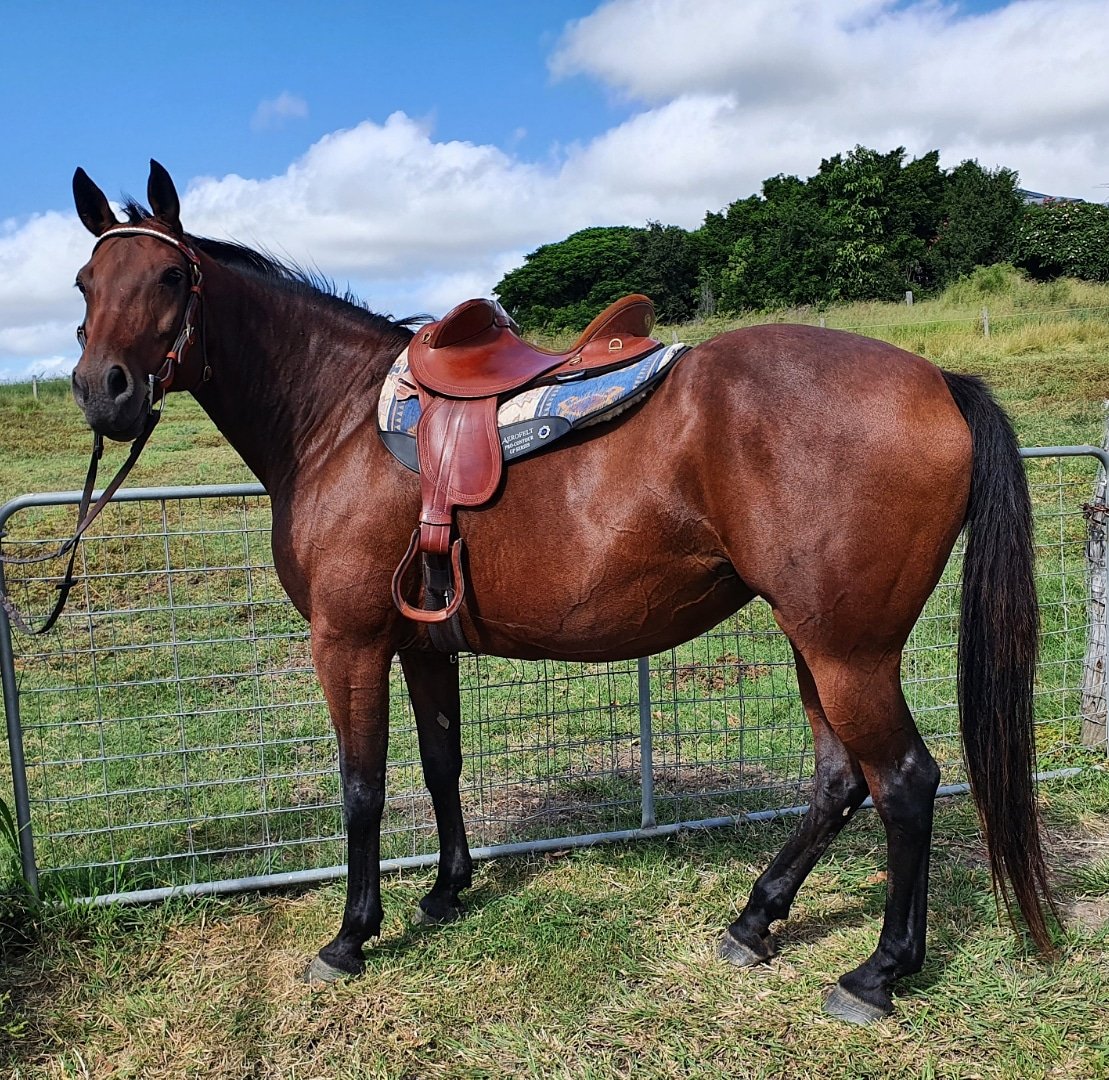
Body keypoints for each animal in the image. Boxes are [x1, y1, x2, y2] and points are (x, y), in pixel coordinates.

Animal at [67, 160, 1057, 1023]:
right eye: (84, 282)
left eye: (170, 275)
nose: (103, 392)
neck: (337, 418)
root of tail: (935, 381)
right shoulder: (421, 644)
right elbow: (440, 764)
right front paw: (446, 890)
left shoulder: (347, 641)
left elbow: (362, 788)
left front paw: (351, 937)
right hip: (814, 640)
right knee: (840, 780)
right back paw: (756, 920)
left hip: (847, 649)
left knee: (905, 783)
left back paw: (877, 972)